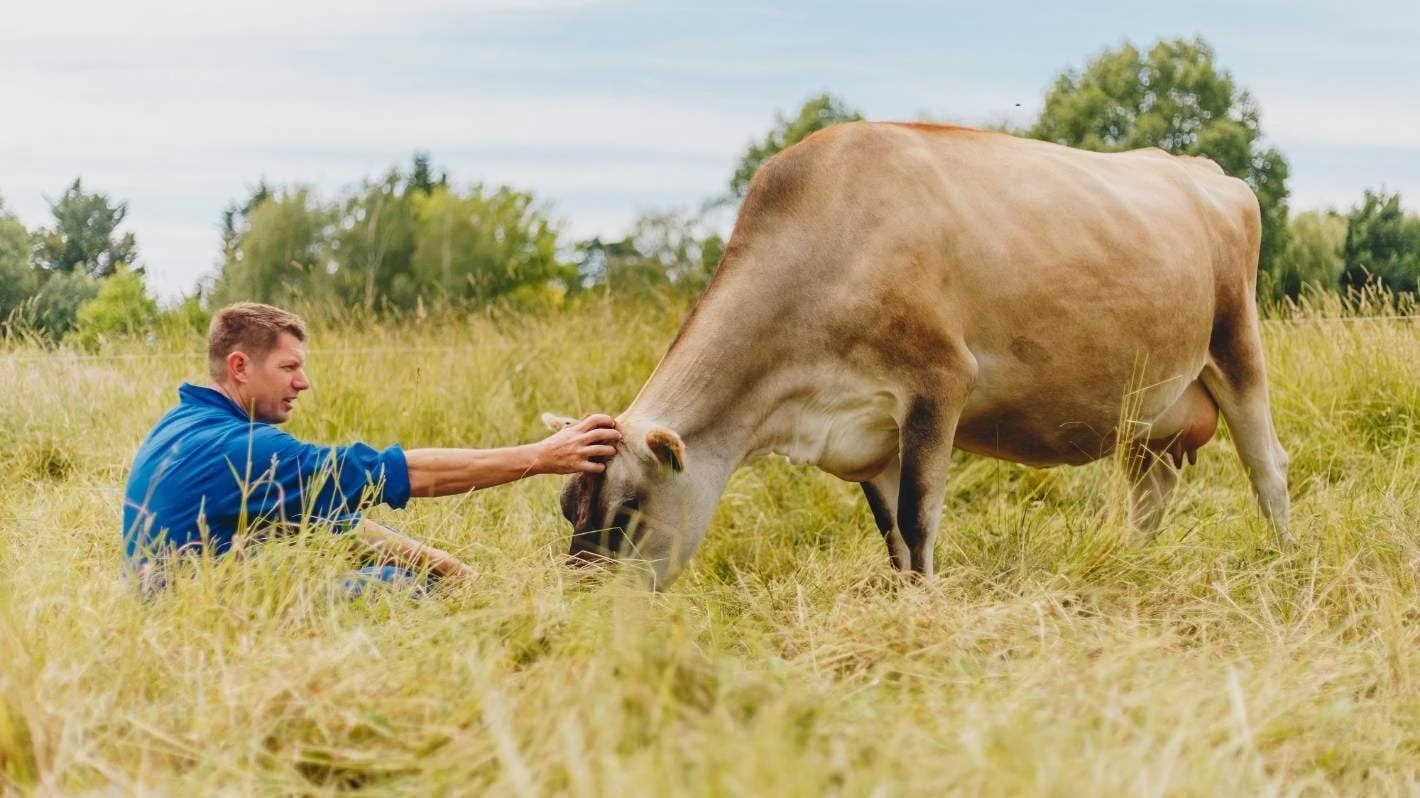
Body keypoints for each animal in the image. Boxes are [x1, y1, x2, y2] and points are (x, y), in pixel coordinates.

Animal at [544, 121, 1291, 590]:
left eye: (627, 511)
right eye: (565, 505)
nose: (580, 608)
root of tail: (1195, 168)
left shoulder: (938, 385)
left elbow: (919, 520)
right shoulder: (869, 436)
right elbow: (894, 538)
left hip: (1237, 348)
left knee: (1268, 469)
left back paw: (1284, 560)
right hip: (1150, 418)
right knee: (1149, 497)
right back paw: (1129, 564)